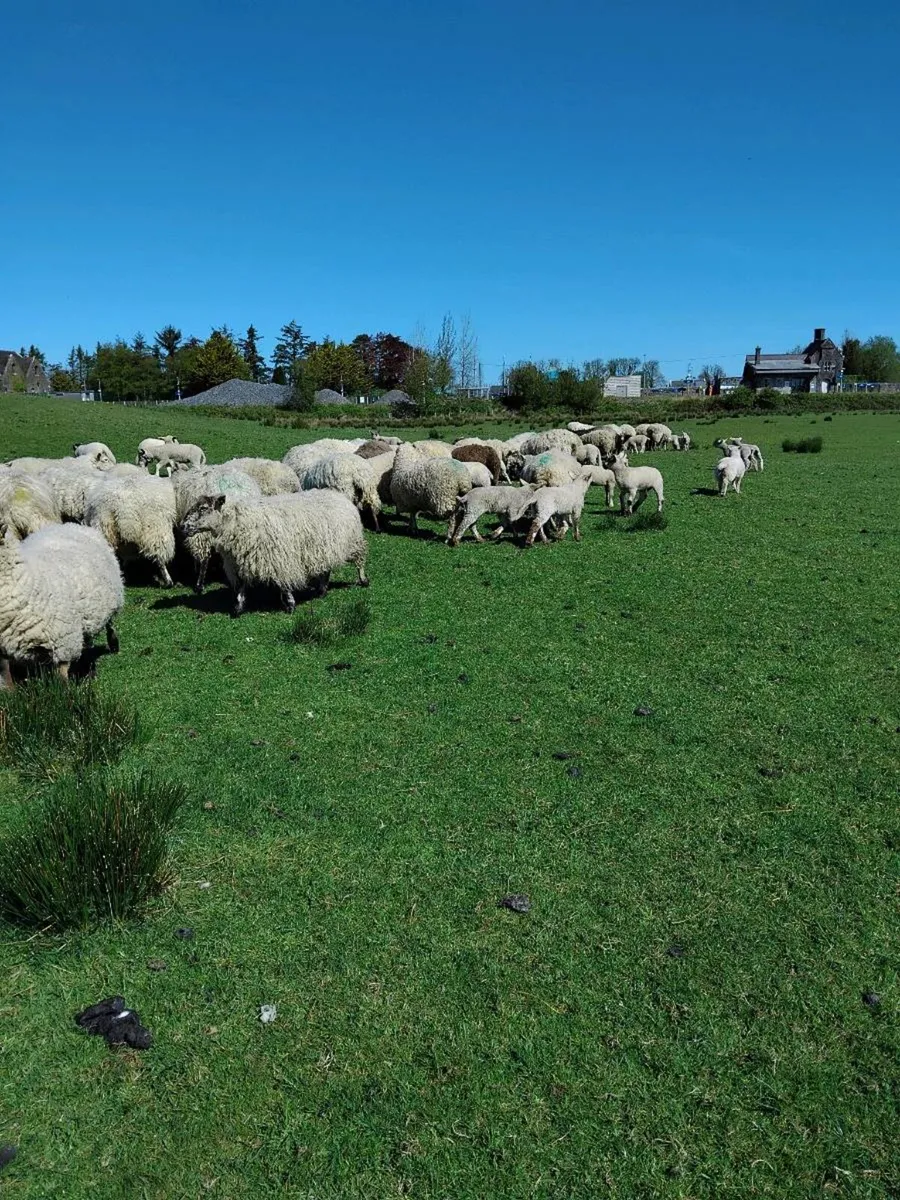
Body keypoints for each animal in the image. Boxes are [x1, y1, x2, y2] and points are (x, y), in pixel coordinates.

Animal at [0, 523, 123, 688]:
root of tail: (71, 525)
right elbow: (7, 676)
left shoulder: (63, 640)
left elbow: (62, 678)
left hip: (110, 603)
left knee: (110, 624)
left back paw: (113, 645)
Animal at [180, 490, 369, 617]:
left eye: (203, 508)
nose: (182, 527)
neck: (235, 521)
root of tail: (339, 495)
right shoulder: (241, 561)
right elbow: (241, 586)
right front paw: (238, 608)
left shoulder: (279, 558)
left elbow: (284, 584)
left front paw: (290, 605)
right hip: (323, 549)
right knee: (326, 569)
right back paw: (322, 590)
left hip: (352, 542)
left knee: (360, 560)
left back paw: (363, 580)